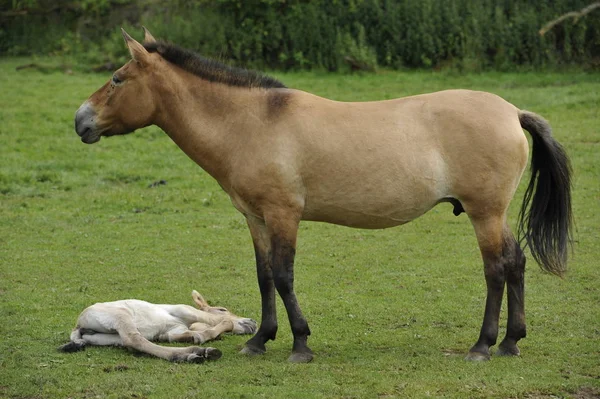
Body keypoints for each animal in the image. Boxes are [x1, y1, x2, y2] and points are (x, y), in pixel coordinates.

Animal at [59, 292, 256, 364]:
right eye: (223, 308)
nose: (253, 322)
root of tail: (78, 325)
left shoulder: (173, 332)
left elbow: (179, 335)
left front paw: (197, 336)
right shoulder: (185, 309)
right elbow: (219, 321)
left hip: (107, 337)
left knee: (133, 343)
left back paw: (193, 354)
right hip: (121, 315)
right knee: (134, 339)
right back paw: (195, 353)